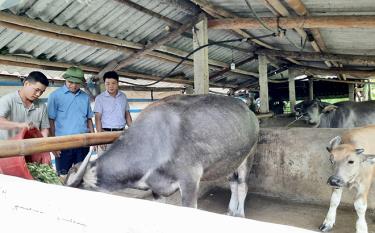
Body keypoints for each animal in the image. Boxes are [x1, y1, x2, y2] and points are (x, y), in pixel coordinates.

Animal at [64, 94, 260, 217]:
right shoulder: (157, 189)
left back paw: (240, 214)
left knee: (242, 186)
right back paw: (231, 211)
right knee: (233, 184)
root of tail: (249, 110)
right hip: (231, 161)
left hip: (249, 155)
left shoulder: (190, 180)